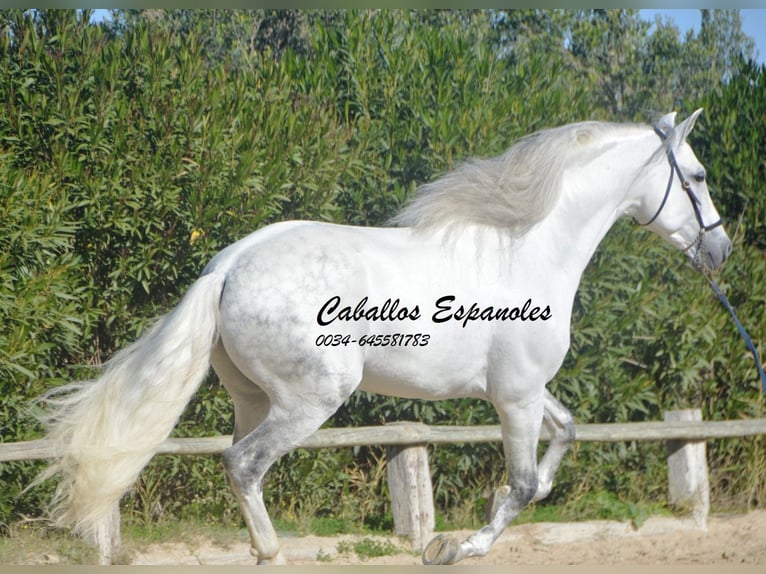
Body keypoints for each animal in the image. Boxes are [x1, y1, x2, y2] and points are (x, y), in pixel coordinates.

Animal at [37, 110, 732, 564]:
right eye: (697, 177)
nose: (720, 250)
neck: (526, 247)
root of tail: (228, 265)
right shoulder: (516, 395)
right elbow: (524, 484)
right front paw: (457, 547)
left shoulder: (523, 391)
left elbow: (562, 443)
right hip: (311, 399)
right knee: (244, 465)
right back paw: (273, 554)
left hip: (252, 399)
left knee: (240, 466)